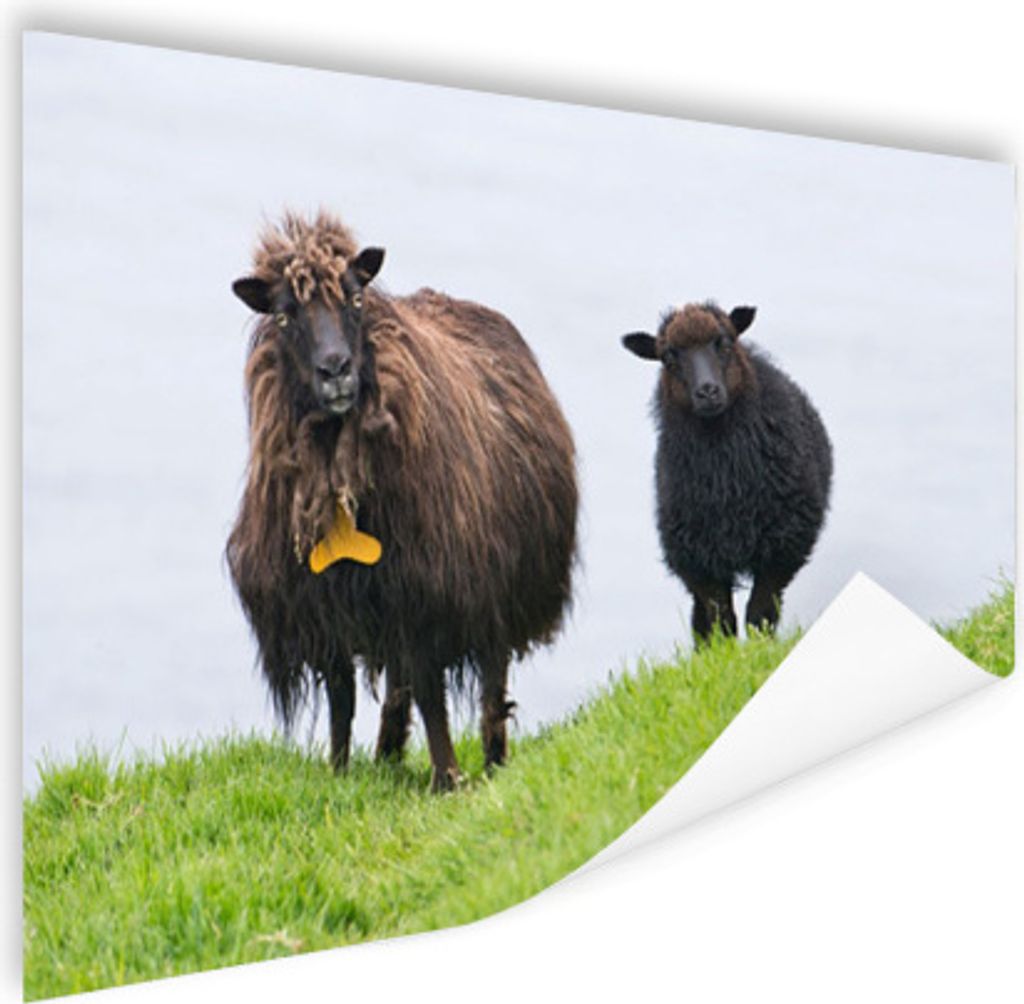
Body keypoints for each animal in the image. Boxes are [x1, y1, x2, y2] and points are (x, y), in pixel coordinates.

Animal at [226, 210, 578, 791]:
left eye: (356, 299)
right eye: (282, 315)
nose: (336, 369)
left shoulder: (428, 595)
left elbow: (433, 695)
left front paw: (448, 780)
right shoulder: (326, 606)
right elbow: (342, 700)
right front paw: (339, 774)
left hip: (496, 585)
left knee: (490, 684)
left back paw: (492, 759)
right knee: (396, 687)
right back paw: (387, 754)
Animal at [622, 301, 832, 642]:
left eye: (724, 342)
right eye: (668, 356)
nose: (707, 391)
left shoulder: (781, 548)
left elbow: (760, 613)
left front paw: (760, 646)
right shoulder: (699, 559)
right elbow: (721, 619)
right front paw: (725, 650)